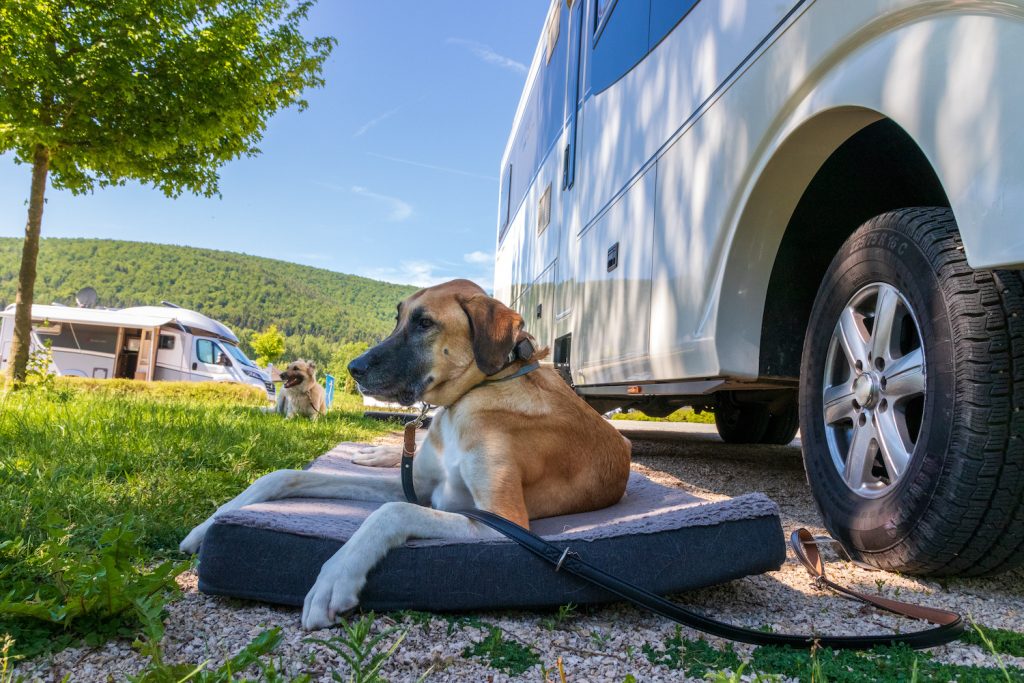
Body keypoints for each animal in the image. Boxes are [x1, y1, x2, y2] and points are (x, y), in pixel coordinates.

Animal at [184, 278, 630, 630]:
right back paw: (369, 454)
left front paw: (336, 576)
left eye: (425, 323)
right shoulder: (418, 484)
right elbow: (284, 475)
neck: (476, 394)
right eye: (398, 318)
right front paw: (209, 524)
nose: (354, 368)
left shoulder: (502, 522)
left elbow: (392, 512)